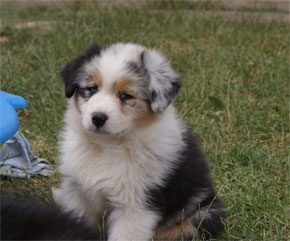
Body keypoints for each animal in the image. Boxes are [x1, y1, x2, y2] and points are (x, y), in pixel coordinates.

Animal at [53, 42, 227, 240]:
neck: (107, 146)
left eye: (126, 96)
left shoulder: (136, 206)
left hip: (200, 216)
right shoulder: (77, 193)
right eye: (92, 88)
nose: (97, 118)